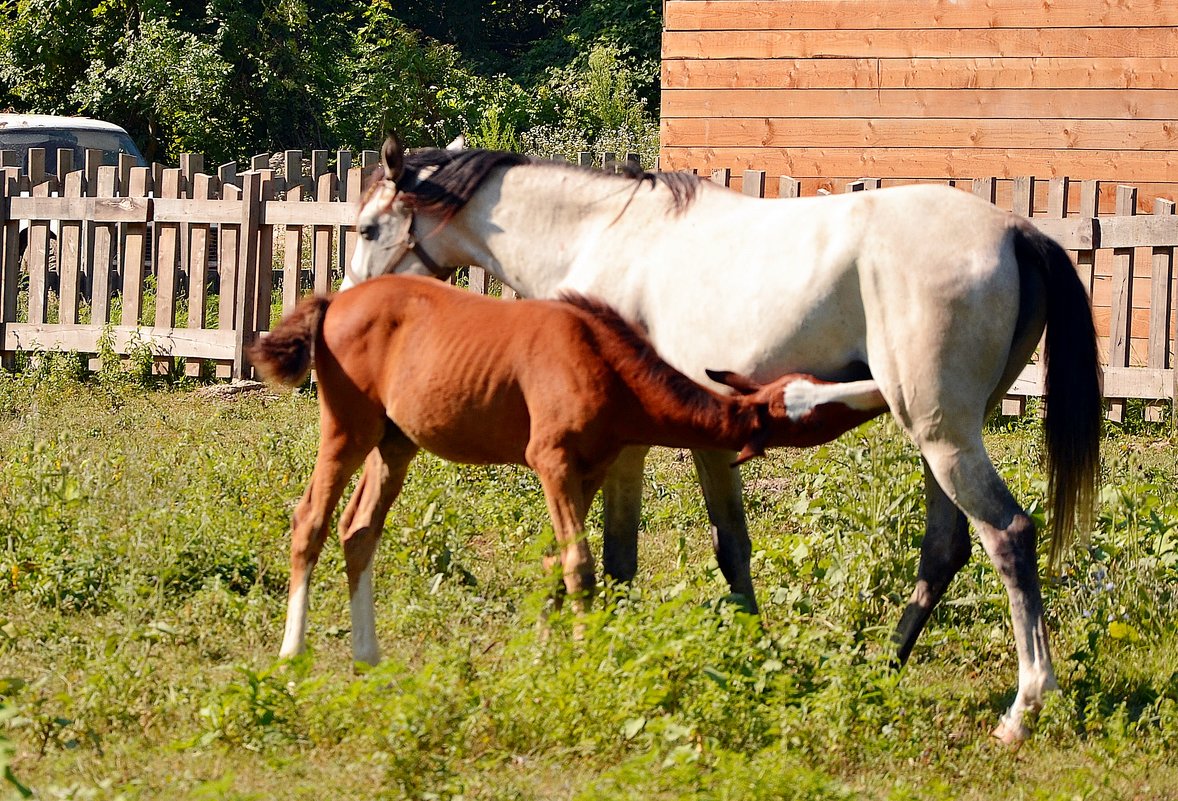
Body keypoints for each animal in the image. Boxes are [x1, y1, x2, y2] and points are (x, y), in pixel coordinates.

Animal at [343, 134, 1102, 739]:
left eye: (370, 227)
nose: (350, 308)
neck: (601, 235)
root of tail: (1015, 232)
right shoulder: (706, 440)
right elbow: (730, 548)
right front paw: (755, 658)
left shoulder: (622, 446)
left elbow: (616, 557)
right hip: (941, 439)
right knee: (945, 549)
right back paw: (880, 667)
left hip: (945, 439)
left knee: (1009, 535)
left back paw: (1023, 708)